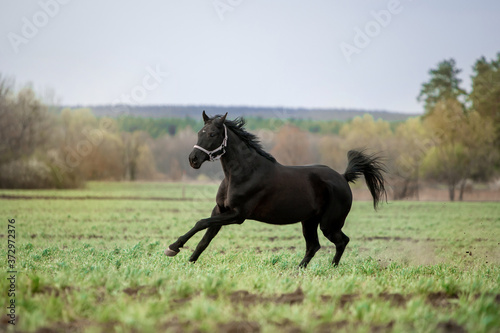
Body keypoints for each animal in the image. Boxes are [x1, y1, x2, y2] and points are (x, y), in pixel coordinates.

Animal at [165, 111, 386, 268]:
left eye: (212, 134)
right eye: (199, 133)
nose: (193, 159)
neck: (243, 173)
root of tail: (342, 177)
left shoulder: (238, 215)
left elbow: (201, 223)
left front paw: (173, 247)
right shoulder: (220, 210)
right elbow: (204, 237)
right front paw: (186, 259)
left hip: (329, 224)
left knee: (341, 242)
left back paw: (331, 268)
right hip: (309, 221)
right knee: (314, 246)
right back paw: (298, 270)